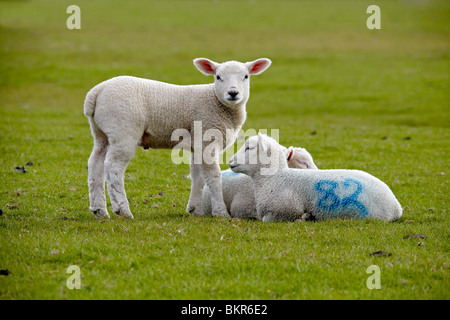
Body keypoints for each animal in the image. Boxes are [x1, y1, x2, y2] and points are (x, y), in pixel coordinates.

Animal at [84, 57, 270, 219]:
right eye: (218, 77)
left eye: (246, 76)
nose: (233, 93)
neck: (216, 102)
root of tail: (96, 92)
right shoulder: (207, 139)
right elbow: (213, 176)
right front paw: (220, 212)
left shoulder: (198, 143)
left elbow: (198, 176)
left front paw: (195, 210)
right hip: (123, 130)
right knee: (113, 168)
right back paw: (122, 210)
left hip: (101, 134)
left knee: (95, 165)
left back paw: (99, 210)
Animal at [230, 134, 402, 221]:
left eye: (249, 148)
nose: (230, 161)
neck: (275, 178)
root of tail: (396, 206)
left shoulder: (282, 211)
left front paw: (305, 217)